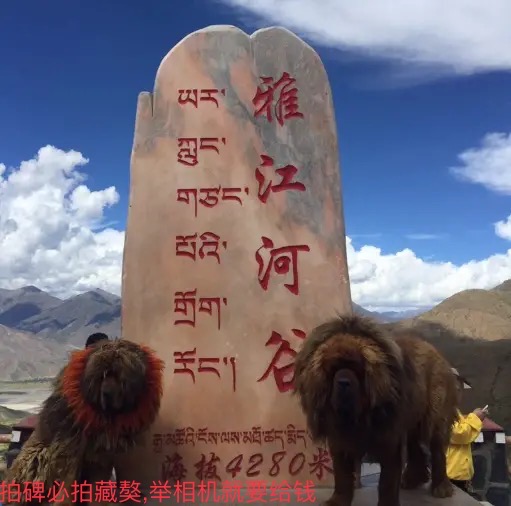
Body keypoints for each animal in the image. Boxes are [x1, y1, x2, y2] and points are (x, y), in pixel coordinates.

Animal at [6, 338, 165, 506]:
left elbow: (97, 483)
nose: (106, 393)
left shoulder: (101, 454)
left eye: (118, 376)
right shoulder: (69, 448)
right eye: (102, 376)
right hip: (36, 460)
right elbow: (68, 482)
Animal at [293, 315, 458, 506]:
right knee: (415, 447)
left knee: (438, 451)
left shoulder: (389, 439)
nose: (343, 382)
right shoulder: (339, 439)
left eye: (357, 368)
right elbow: (342, 476)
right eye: (333, 369)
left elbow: (387, 482)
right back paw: (412, 479)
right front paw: (338, 501)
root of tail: (437, 354)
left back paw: (441, 487)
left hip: (435, 419)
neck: (357, 417)